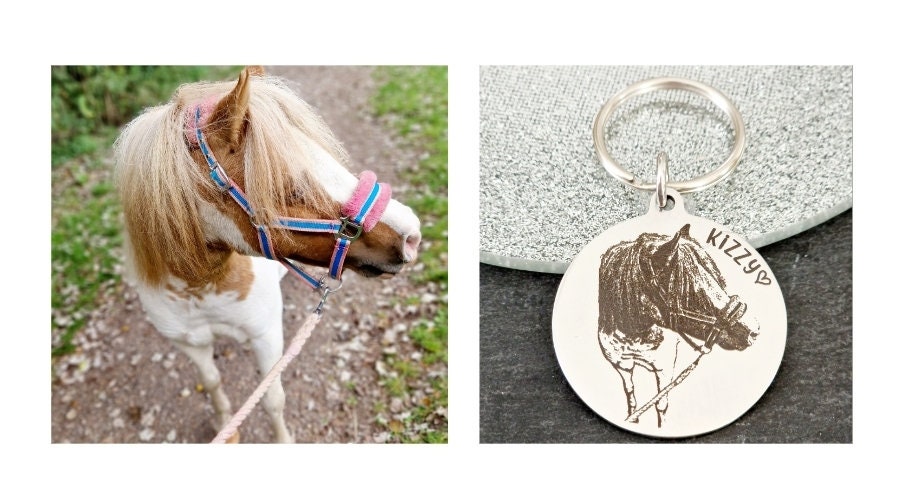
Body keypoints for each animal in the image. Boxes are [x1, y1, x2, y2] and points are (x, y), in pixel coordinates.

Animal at [113, 66, 422, 443]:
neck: (201, 288)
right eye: (291, 190)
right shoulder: (190, 344)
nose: (412, 234)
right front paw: (225, 426)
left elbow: (272, 399)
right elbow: (212, 383)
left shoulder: (266, 336)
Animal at [597, 223, 758, 428]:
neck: (634, 332)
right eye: (694, 290)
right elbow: (631, 396)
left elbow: (660, 404)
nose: (754, 330)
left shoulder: (664, 369)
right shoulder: (622, 366)